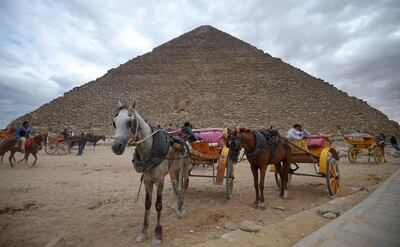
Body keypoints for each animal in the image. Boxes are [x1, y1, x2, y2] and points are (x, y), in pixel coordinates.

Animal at [111, 99, 192, 245]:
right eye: (114, 122)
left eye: (129, 122)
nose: (116, 147)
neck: (150, 149)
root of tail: (184, 140)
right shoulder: (147, 180)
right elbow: (147, 204)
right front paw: (143, 232)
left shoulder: (160, 181)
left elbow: (158, 205)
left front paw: (158, 234)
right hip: (176, 168)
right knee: (178, 184)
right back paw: (178, 204)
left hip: (185, 166)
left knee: (184, 185)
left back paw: (180, 209)